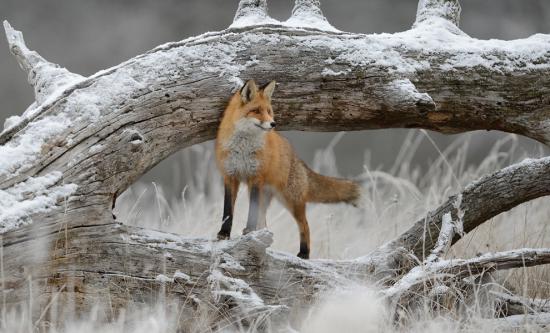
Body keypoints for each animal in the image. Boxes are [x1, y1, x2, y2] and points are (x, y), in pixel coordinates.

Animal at [216, 79, 362, 258]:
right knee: (264, 222)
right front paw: (224, 233)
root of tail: (296, 156)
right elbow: (227, 210)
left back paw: (304, 253)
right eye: (256, 111)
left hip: (291, 200)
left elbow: (251, 212)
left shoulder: (255, 178)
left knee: (305, 225)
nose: (273, 123)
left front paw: (249, 231)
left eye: (269, 111)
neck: (243, 148)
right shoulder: (230, 176)